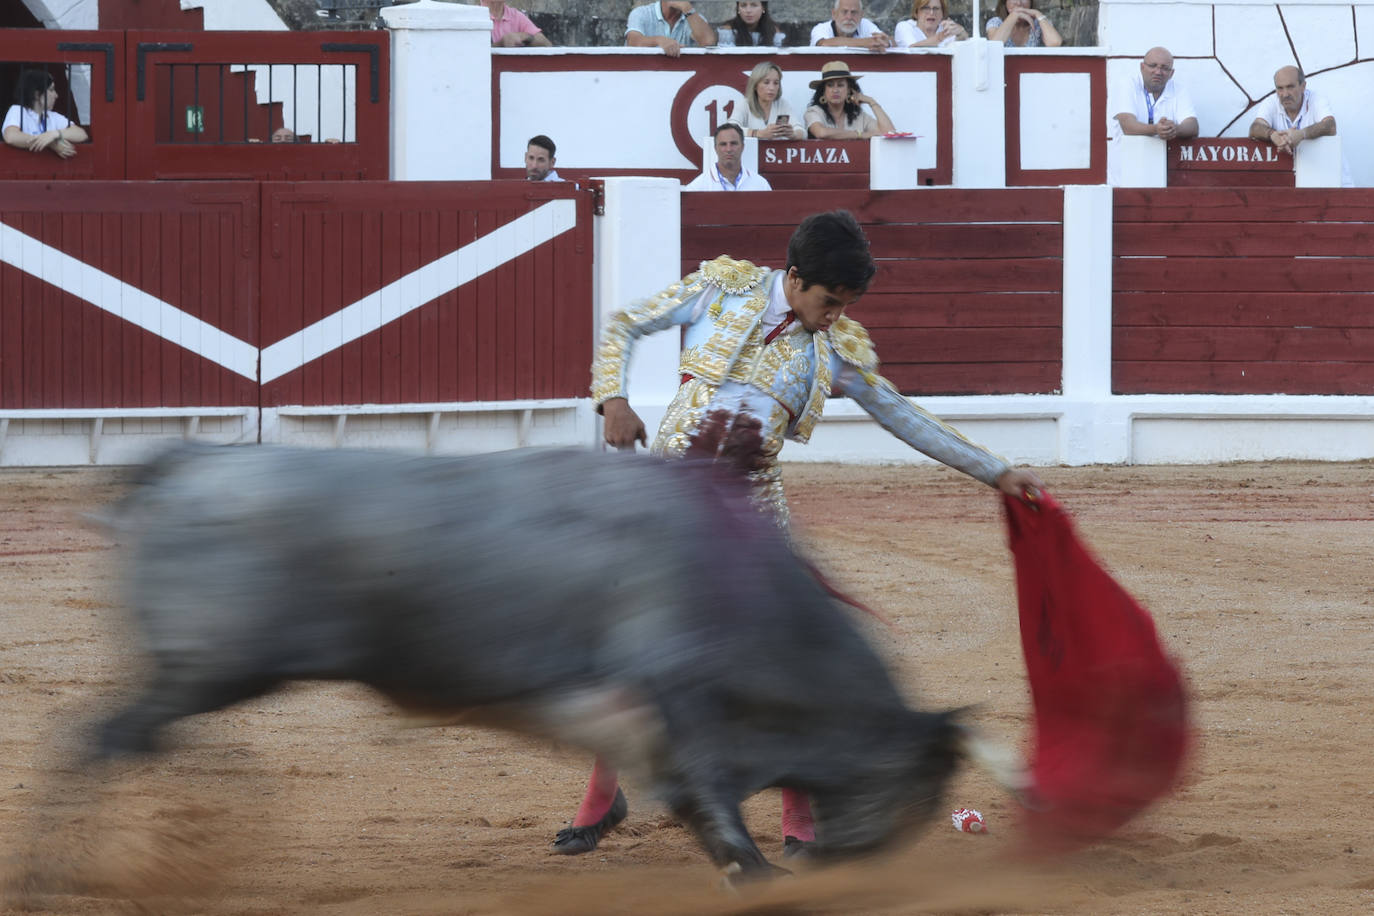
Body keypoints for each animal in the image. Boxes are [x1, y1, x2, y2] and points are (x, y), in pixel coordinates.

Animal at [94, 447, 978, 878]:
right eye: (923, 792)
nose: (841, 865)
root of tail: (192, 462)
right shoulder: (685, 705)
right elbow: (721, 819)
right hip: (213, 668)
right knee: (108, 742)